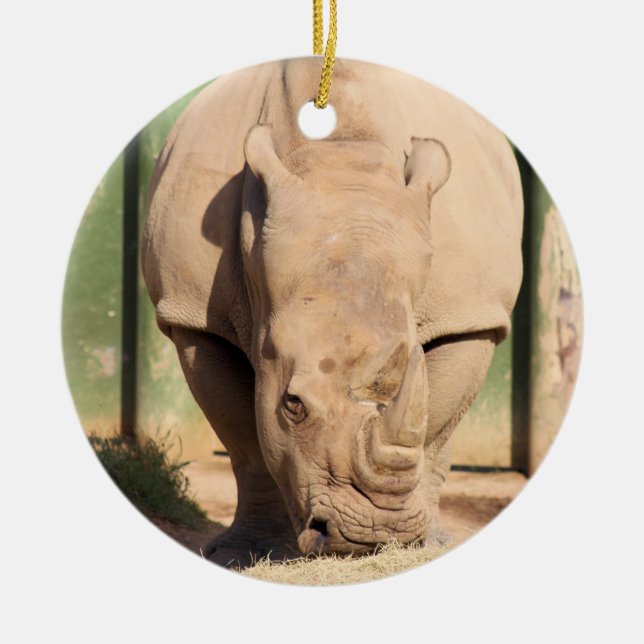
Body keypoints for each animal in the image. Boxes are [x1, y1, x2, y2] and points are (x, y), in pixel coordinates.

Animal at [141, 58, 523, 564]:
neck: (339, 159)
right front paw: (247, 554)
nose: (374, 535)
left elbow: (438, 426)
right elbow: (243, 440)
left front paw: (420, 544)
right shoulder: (194, 316)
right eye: (292, 405)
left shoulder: (471, 314)